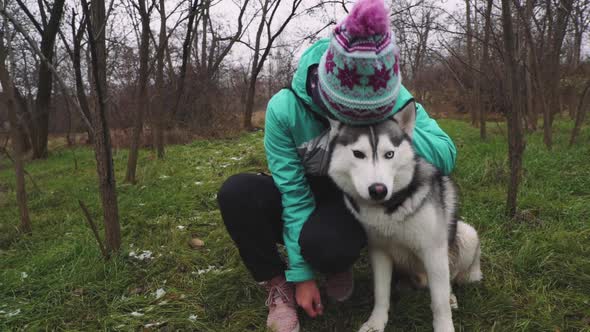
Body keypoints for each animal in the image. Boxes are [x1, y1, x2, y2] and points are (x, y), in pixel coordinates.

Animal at [326, 102, 484, 332]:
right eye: (358, 154)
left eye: (389, 154)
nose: (378, 190)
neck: (388, 209)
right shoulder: (379, 251)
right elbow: (381, 293)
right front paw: (376, 322)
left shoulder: (434, 251)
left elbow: (439, 302)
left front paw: (444, 325)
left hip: (466, 234)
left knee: (450, 280)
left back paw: (451, 295)